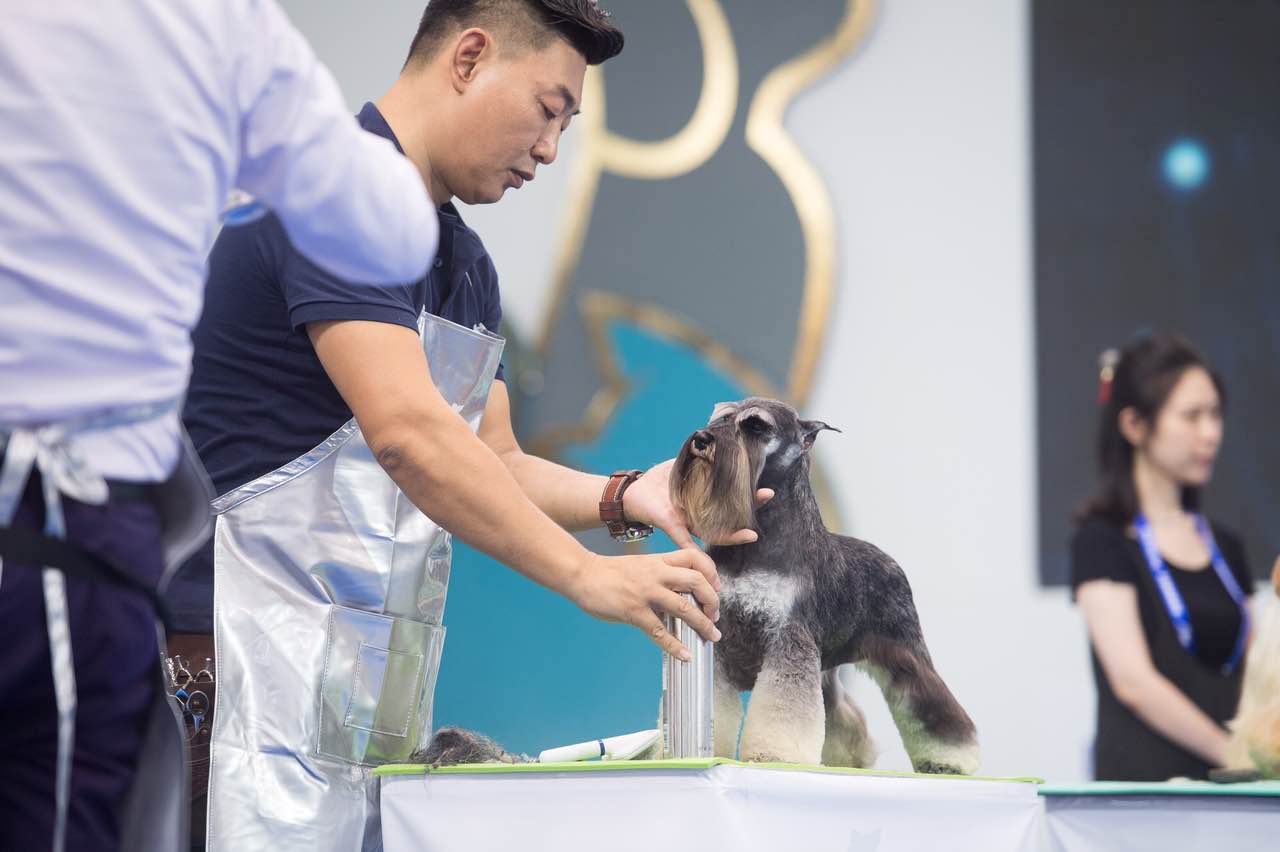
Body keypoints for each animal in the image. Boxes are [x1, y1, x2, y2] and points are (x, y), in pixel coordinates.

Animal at [670, 397, 980, 774]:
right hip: (825, 670)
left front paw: (775, 756)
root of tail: (889, 560)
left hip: (904, 656)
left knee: (932, 703)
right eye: (718, 417)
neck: (754, 543)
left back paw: (950, 761)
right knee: (841, 716)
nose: (701, 439)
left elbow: (783, 708)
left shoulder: (789, 641)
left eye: (756, 425)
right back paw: (851, 759)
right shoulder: (721, 641)